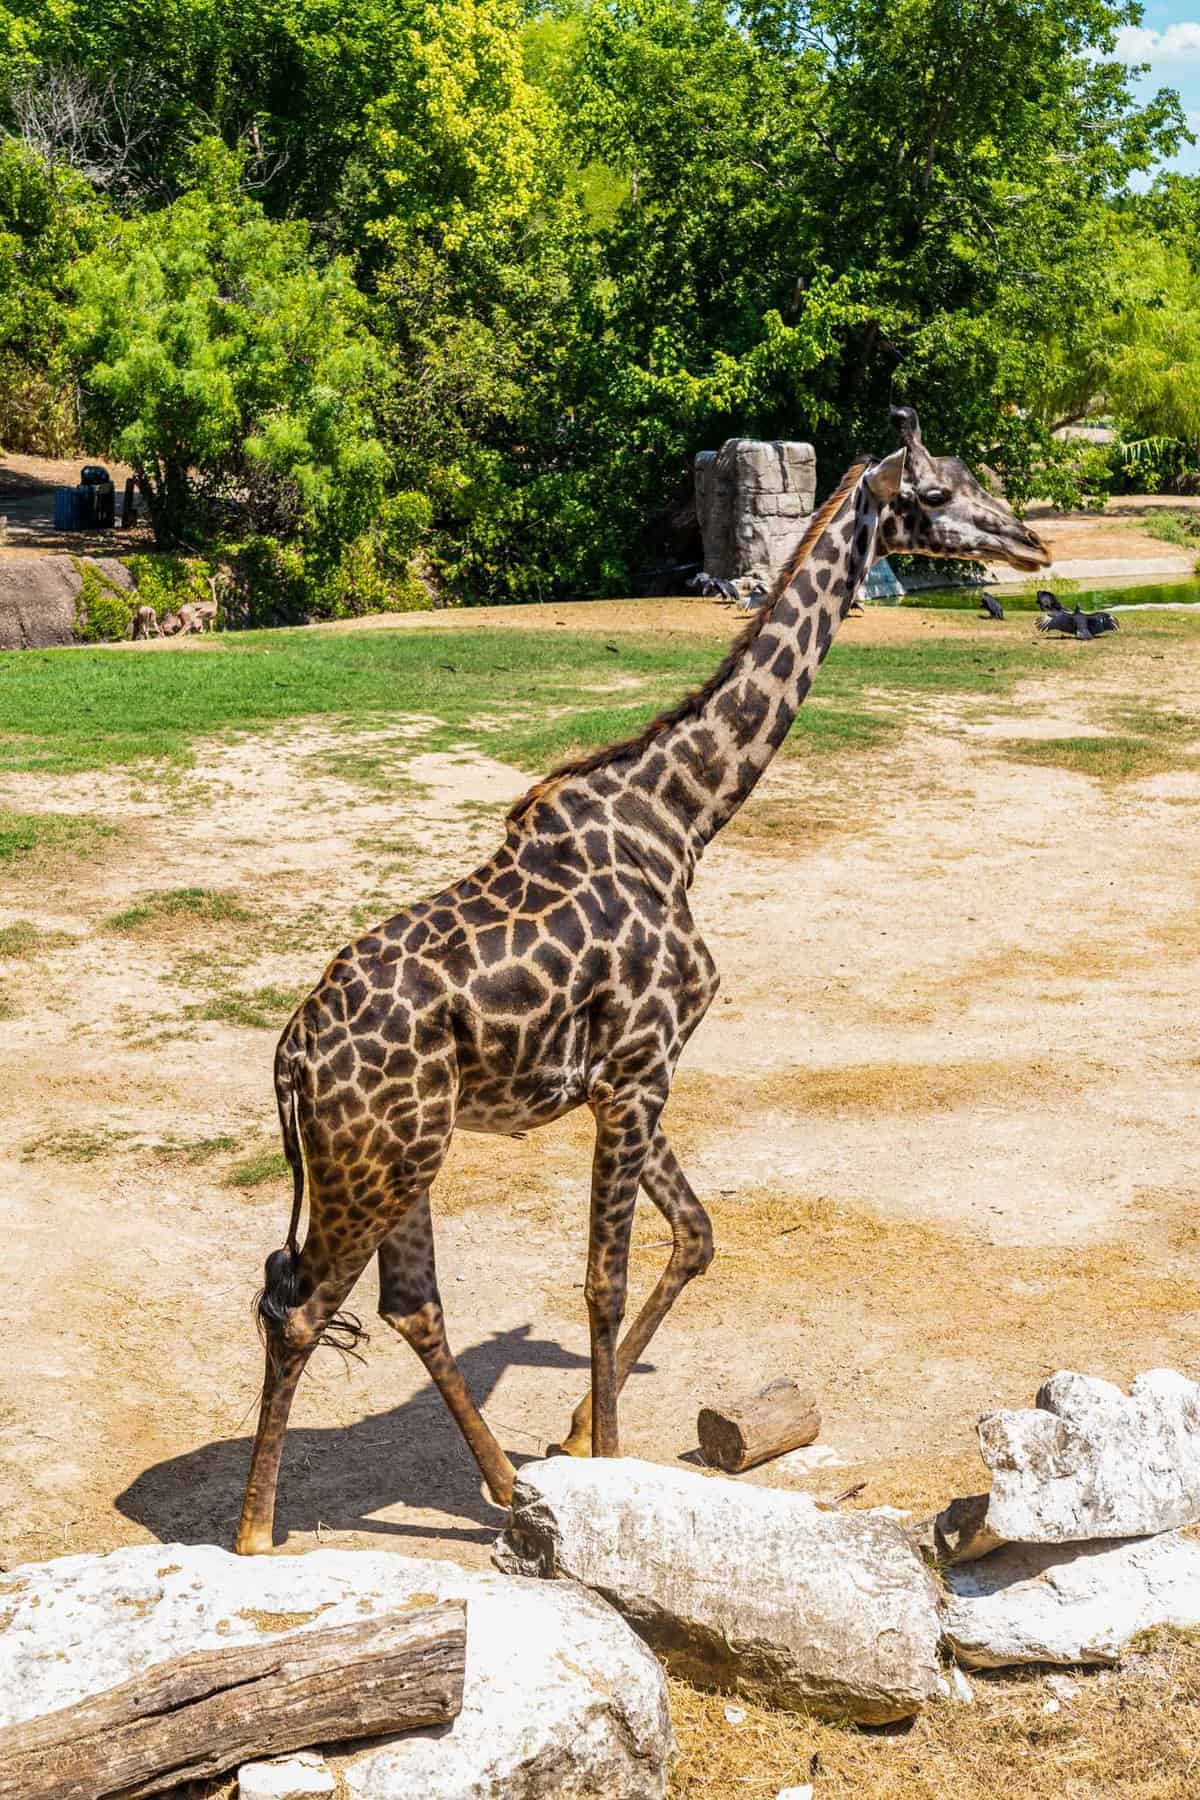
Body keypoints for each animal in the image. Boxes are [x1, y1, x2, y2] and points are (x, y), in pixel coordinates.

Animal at [237, 405, 1050, 1548]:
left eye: (977, 480)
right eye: (935, 494)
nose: (1032, 546)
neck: (684, 820)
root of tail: (291, 1058)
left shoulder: (631, 1076)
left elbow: (697, 1236)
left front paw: (579, 1436)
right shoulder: (635, 1071)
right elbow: (603, 1283)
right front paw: (609, 1475)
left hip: (410, 1154)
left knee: (405, 1303)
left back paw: (502, 1483)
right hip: (372, 1162)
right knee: (302, 1306)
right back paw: (255, 1533)